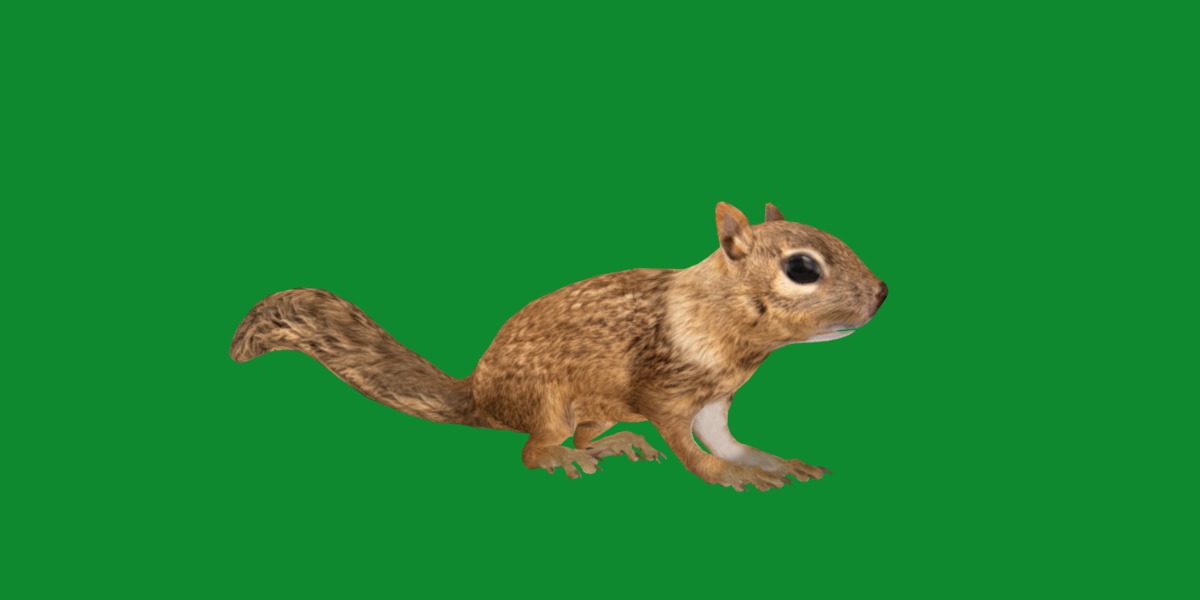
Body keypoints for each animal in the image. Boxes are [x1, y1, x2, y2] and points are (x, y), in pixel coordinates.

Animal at [230, 202, 887, 491]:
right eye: (801, 268)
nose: (882, 294)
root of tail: (481, 396)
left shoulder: (714, 400)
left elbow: (729, 440)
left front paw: (771, 462)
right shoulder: (664, 391)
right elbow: (693, 450)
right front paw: (728, 476)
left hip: (593, 408)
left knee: (583, 434)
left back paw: (616, 444)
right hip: (547, 402)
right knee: (536, 448)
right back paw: (562, 458)